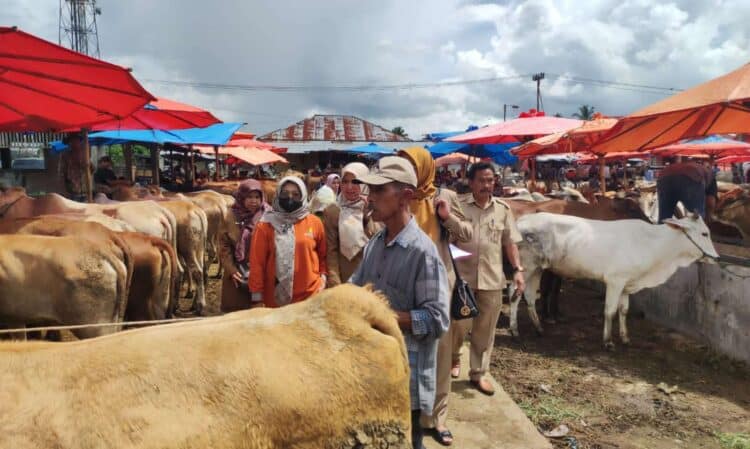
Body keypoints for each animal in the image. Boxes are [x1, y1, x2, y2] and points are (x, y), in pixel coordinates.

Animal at [516, 212, 720, 348]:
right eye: (704, 233)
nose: (717, 258)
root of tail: (521, 220)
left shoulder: (626, 284)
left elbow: (624, 310)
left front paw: (625, 337)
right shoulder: (615, 281)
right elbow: (610, 311)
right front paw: (608, 341)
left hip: (537, 269)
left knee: (529, 297)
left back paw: (538, 328)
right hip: (525, 268)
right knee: (515, 295)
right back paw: (514, 331)